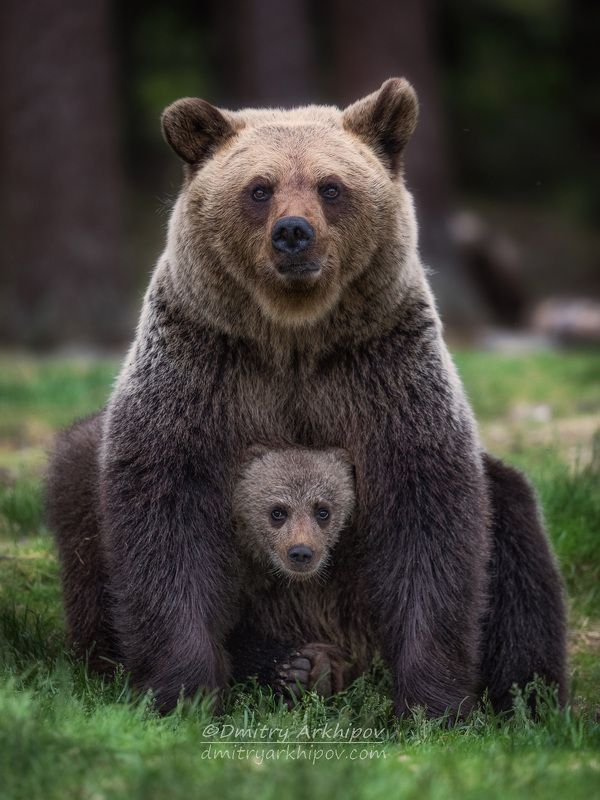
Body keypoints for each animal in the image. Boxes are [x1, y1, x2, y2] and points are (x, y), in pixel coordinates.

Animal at [47, 78, 568, 716]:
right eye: (259, 188)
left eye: (331, 186)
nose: (293, 231)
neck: (293, 337)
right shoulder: (203, 375)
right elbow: (166, 520)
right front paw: (185, 690)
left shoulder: (382, 381)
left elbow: (429, 522)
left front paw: (433, 701)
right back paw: (296, 662)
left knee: (518, 543)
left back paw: (528, 701)